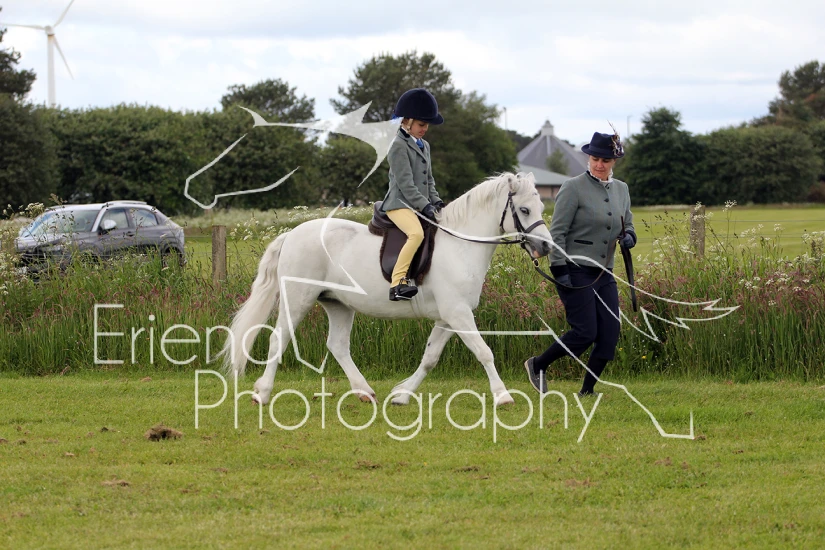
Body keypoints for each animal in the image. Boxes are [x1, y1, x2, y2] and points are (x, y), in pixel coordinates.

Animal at [222, 172, 552, 407]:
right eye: (524, 209)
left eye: (540, 206)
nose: (546, 247)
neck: (460, 244)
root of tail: (290, 234)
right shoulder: (458, 314)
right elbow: (484, 352)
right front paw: (503, 396)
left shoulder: (448, 317)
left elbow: (430, 358)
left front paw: (402, 395)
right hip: (297, 299)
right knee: (279, 340)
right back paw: (262, 394)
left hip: (338, 304)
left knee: (337, 345)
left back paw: (364, 392)